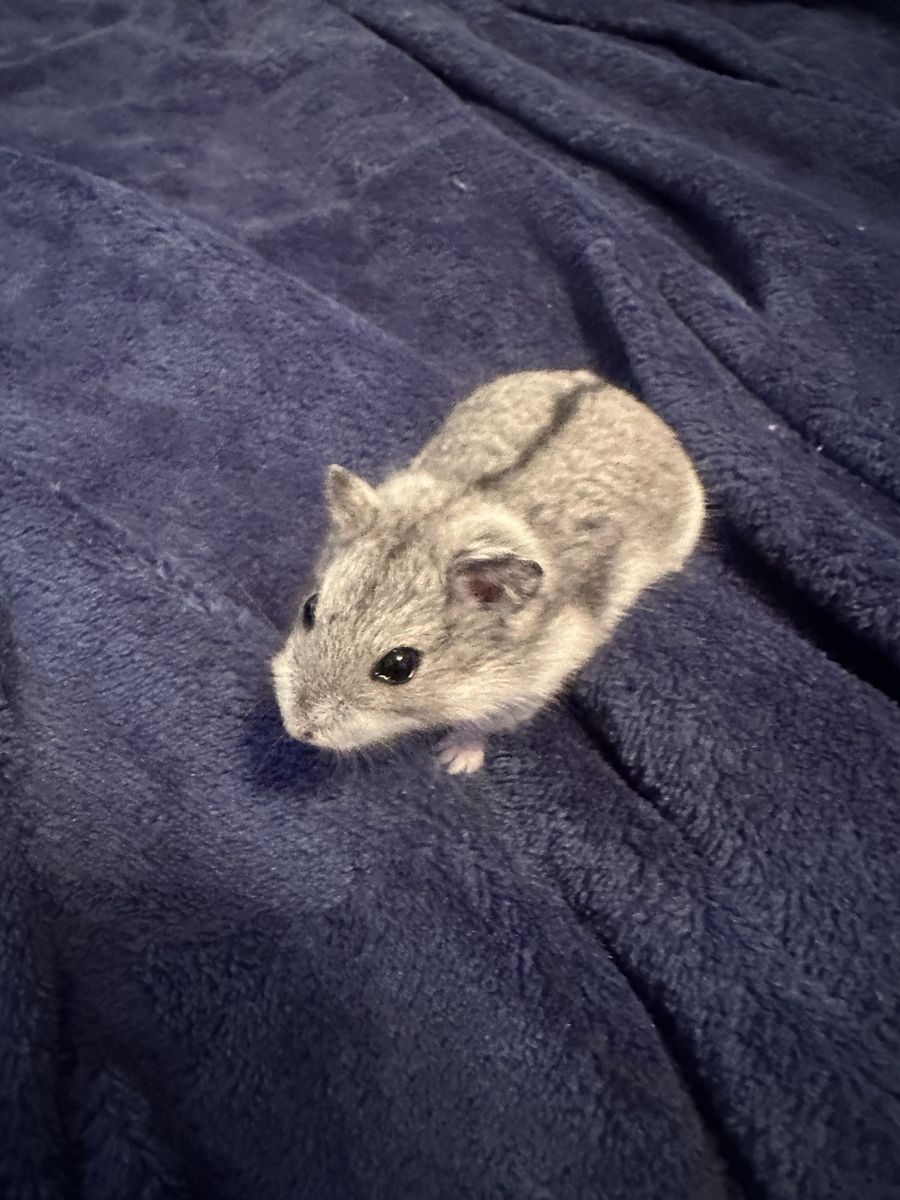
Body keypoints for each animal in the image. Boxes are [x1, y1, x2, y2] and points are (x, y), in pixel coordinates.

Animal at [271, 370, 704, 774]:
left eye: (399, 666)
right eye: (309, 609)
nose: (297, 728)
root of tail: (615, 391)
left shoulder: (528, 690)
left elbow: (478, 726)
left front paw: (452, 762)